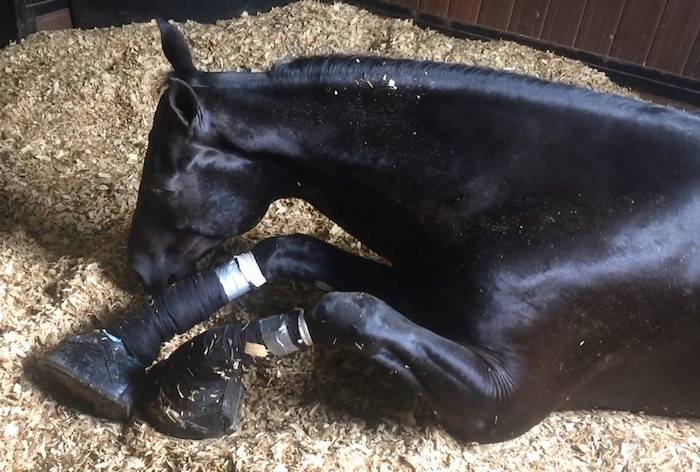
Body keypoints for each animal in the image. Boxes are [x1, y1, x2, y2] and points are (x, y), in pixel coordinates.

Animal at [125, 20, 700, 442]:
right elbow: (293, 252)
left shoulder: (504, 398)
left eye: (165, 180)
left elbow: (343, 309)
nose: (139, 270)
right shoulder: (427, 286)